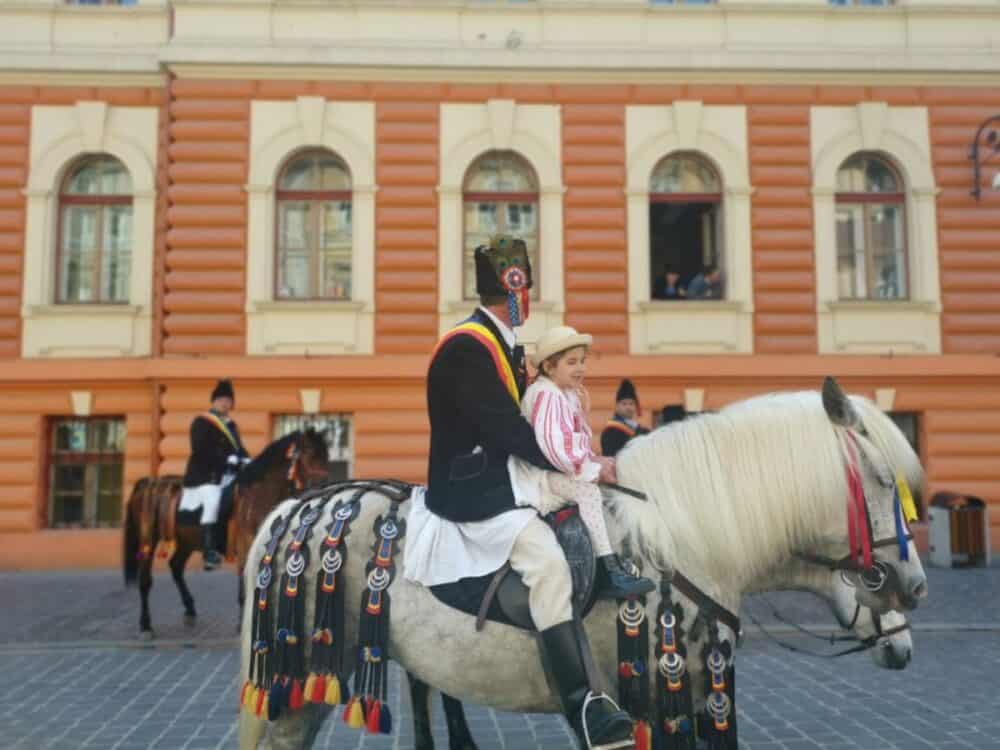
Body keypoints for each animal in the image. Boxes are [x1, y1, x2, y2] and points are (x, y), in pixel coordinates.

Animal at [122, 428, 328, 640]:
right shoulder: (246, 547)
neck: (260, 493)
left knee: (176, 566)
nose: (324, 485)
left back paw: (189, 610)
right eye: (309, 453)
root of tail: (149, 482)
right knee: (145, 580)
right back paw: (145, 625)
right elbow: (246, 588)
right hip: (148, 540)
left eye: (326, 456)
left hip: (186, 542)